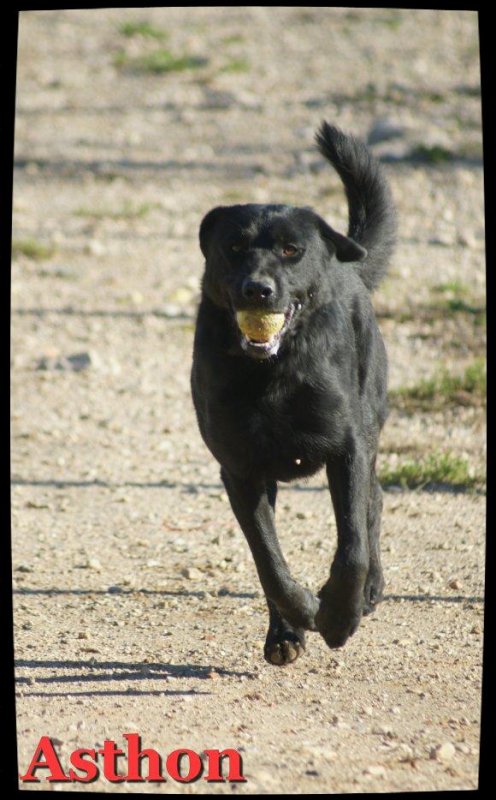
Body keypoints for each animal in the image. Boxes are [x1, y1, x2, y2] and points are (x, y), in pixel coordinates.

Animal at [190, 122, 396, 664]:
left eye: (290, 250)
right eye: (234, 247)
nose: (257, 289)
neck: (272, 375)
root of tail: (349, 264)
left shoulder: (346, 448)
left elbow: (352, 549)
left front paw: (340, 617)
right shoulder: (241, 470)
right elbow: (269, 561)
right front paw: (299, 617)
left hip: (370, 422)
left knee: (373, 503)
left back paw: (369, 592)